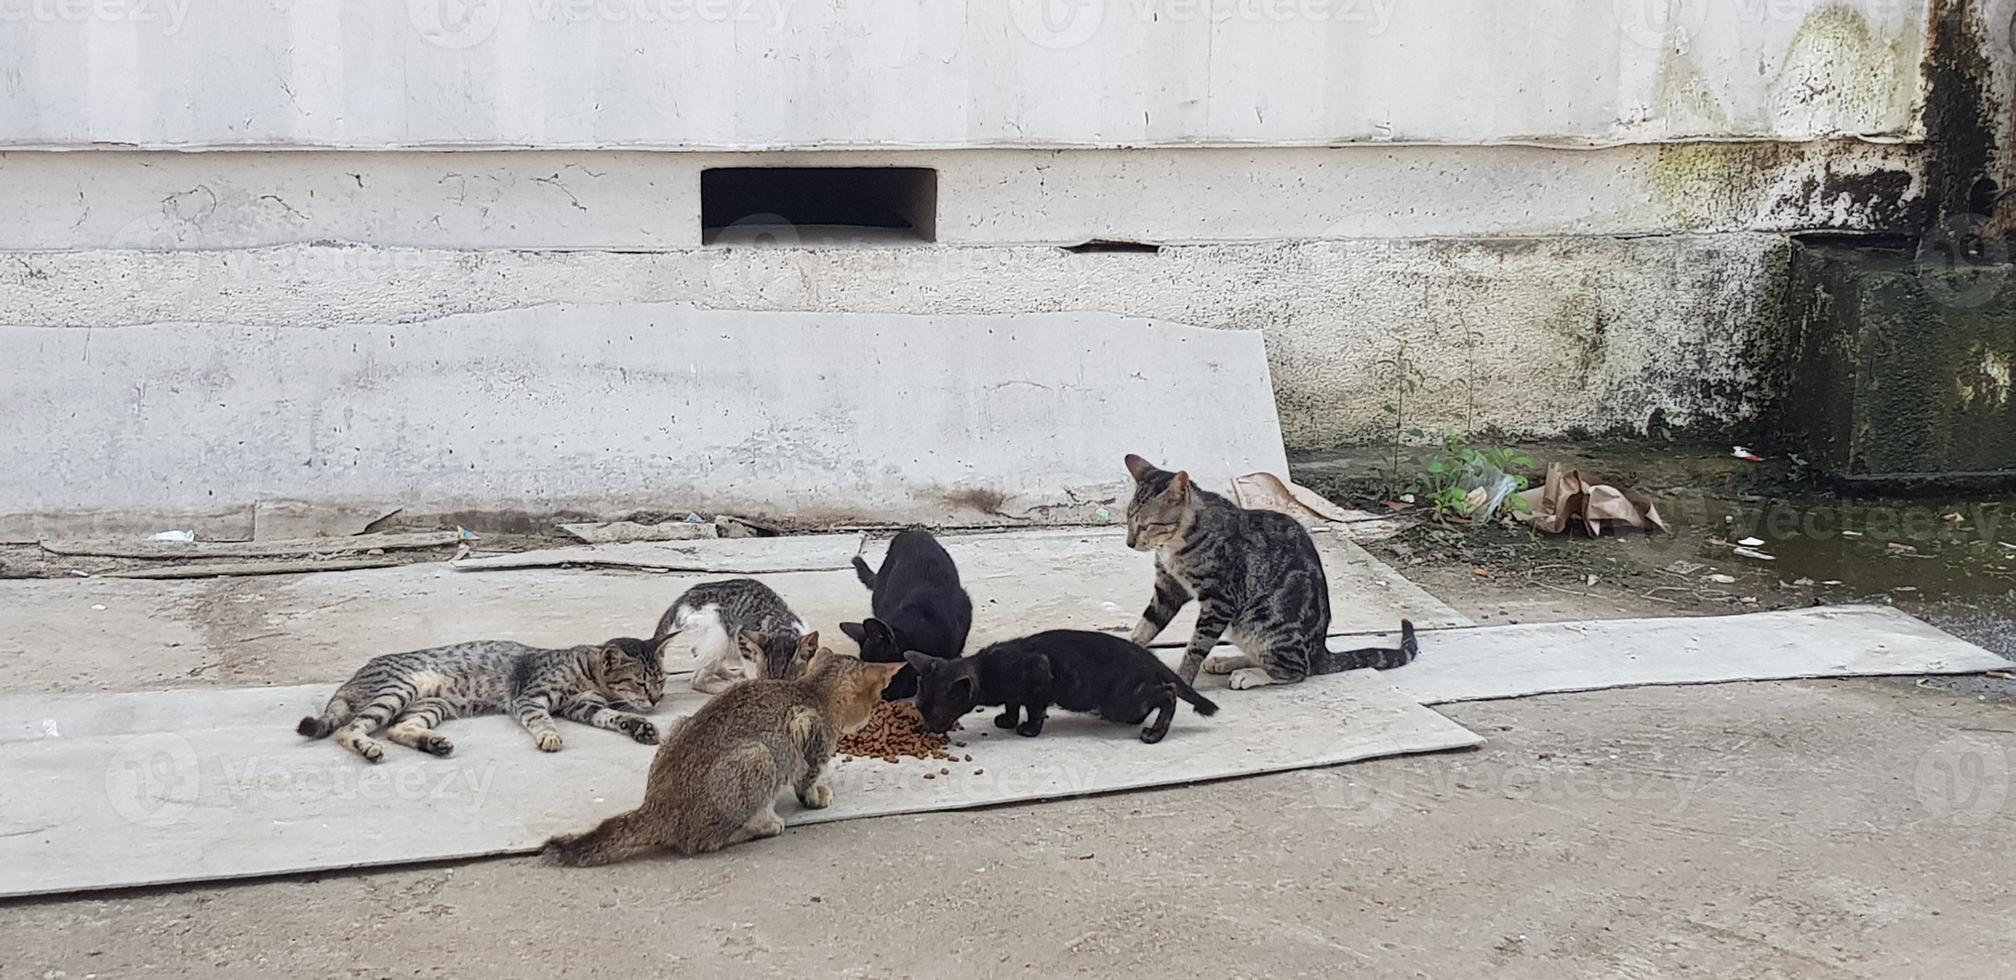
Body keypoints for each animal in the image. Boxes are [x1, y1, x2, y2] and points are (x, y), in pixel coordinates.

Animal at [911, 629, 1217, 742]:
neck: (987, 670)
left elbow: (1034, 710)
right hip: (1125, 704)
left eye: (936, 712)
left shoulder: (1040, 676)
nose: (928, 728)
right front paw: (1008, 720)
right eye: (920, 708)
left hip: (1120, 701)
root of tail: (1148, 657)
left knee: (1169, 692)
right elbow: (1012, 704)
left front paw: (1029, 729)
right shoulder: (1014, 693)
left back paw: (1154, 733)